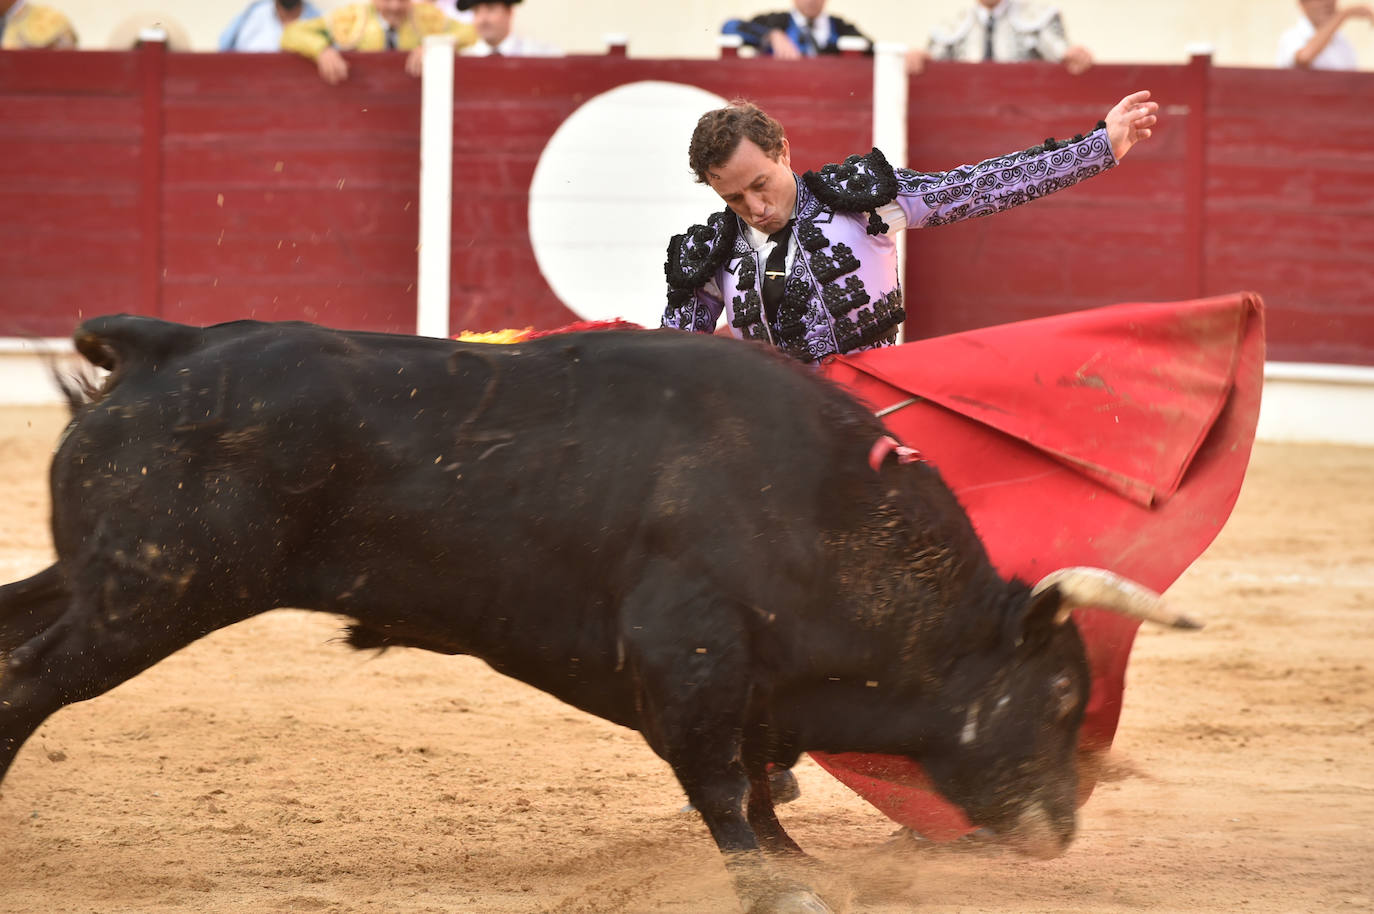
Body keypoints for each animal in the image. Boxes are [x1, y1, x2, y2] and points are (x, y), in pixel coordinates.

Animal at [0, 317, 1187, 907]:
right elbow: (721, 778)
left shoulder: (748, 677)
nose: (1061, 827)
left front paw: (798, 861)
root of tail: (169, 346)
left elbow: (755, 771)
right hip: (154, 594)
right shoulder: (690, 654)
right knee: (27, 681)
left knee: (14, 630)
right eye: (1061, 691)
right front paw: (775, 888)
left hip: (104, 577)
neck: (820, 509)